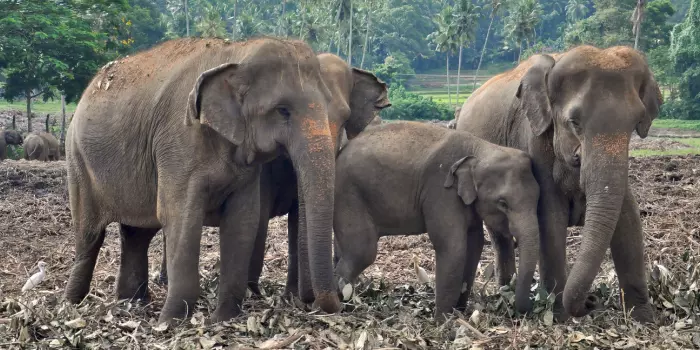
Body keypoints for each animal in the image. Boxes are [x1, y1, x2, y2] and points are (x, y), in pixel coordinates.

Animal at [66, 37, 348, 324]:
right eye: (283, 110)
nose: (333, 302)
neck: (237, 53)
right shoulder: (179, 145)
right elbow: (180, 217)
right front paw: (170, 322)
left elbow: (243, 220)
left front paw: (223, 319)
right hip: (77, 161)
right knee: (90, 235)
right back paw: (74, 303)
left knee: (136, 234)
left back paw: (131, 302)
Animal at [155, 51, 392, 304]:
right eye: (283, 112)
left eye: (346, 117)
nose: (311, 299)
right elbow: (259, 215)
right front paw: (253, 292)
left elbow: (298, 217)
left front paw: (292, 295)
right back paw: (165, 281)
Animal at [330, 121, 540, 322]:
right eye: (503, 203)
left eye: (538, 199)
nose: (524, 310)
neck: (481, 148)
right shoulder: (441, 190)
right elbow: (452, 246)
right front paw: (442, 321)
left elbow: (474, 243)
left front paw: (459, 311)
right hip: (348, 195)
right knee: (362, 251)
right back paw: (338, 304)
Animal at [456, 45, 664, 322]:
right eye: (574, 122)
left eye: (634, 124)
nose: (592, 301)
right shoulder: (532, 138)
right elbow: (549, 216)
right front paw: (559, 317)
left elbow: (628, 218)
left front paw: (643, 318)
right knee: (499, 236)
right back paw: (506, 292)